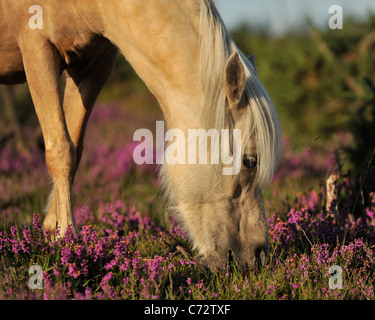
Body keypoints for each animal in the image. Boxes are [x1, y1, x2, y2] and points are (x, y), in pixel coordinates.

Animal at [0, 0, 282, 272]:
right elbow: (60, 152)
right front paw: (67, 242)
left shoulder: (93, 65)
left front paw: (52, 230)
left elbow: (74, 150)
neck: (96, 5)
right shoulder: (37, 49)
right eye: (250, 160)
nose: (259, 256)